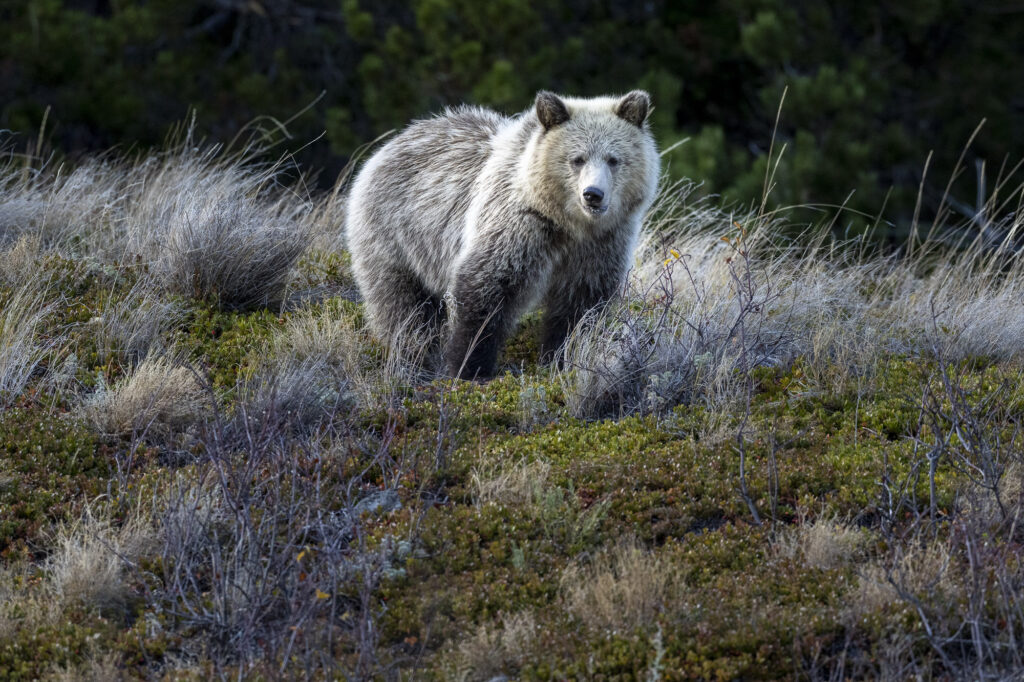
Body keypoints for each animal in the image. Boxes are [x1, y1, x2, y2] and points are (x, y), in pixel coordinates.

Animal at [345, 90, 660, 379]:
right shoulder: (519, 225)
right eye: (577, 159)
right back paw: (413, 356)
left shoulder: (601, 244)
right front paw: (469, 365)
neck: (568, 224)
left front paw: (561, 358)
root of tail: (390, 144)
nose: (593, 194)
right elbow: (488, 287)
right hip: (395, 232)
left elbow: (581, 306)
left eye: (613, 159)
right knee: (403, 304)